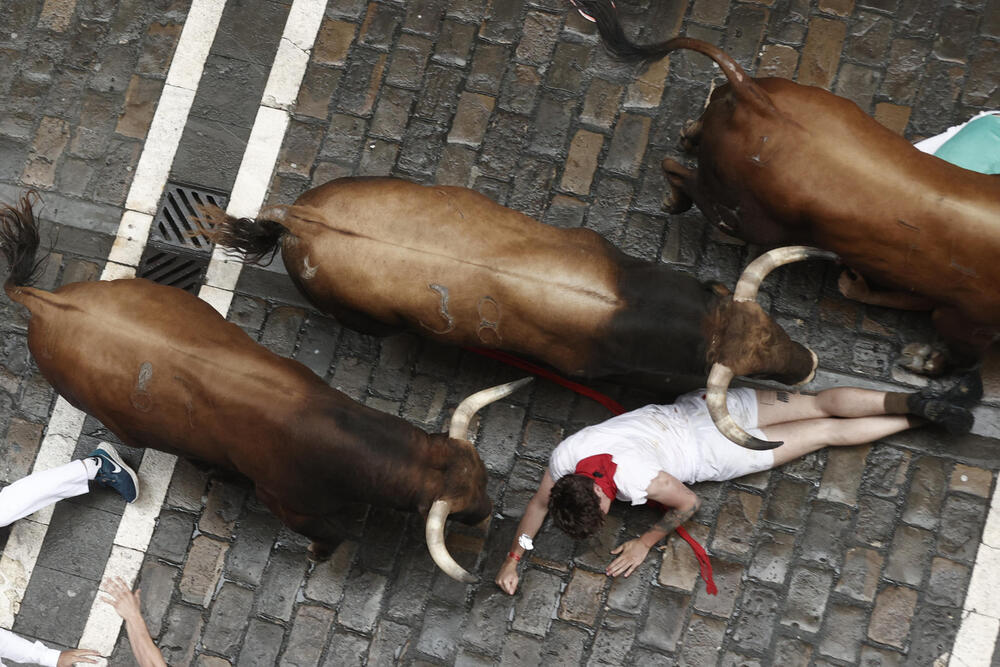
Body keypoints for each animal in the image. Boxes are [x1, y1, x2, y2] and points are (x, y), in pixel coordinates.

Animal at [1, 192, 532, 580]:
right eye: (457, 510)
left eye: (483, 477)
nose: (487, 513)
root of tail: (43, 301)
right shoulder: (289, 505)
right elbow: (334, 535)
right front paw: (319, 556)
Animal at [580, 0, 1000, 376]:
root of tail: (757, 98)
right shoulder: (965, 321)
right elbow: (962, 354)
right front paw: (923, 360)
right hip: (743, 218)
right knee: (678, 173)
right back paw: (674, 198)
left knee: (702, 117)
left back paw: (689, 136)